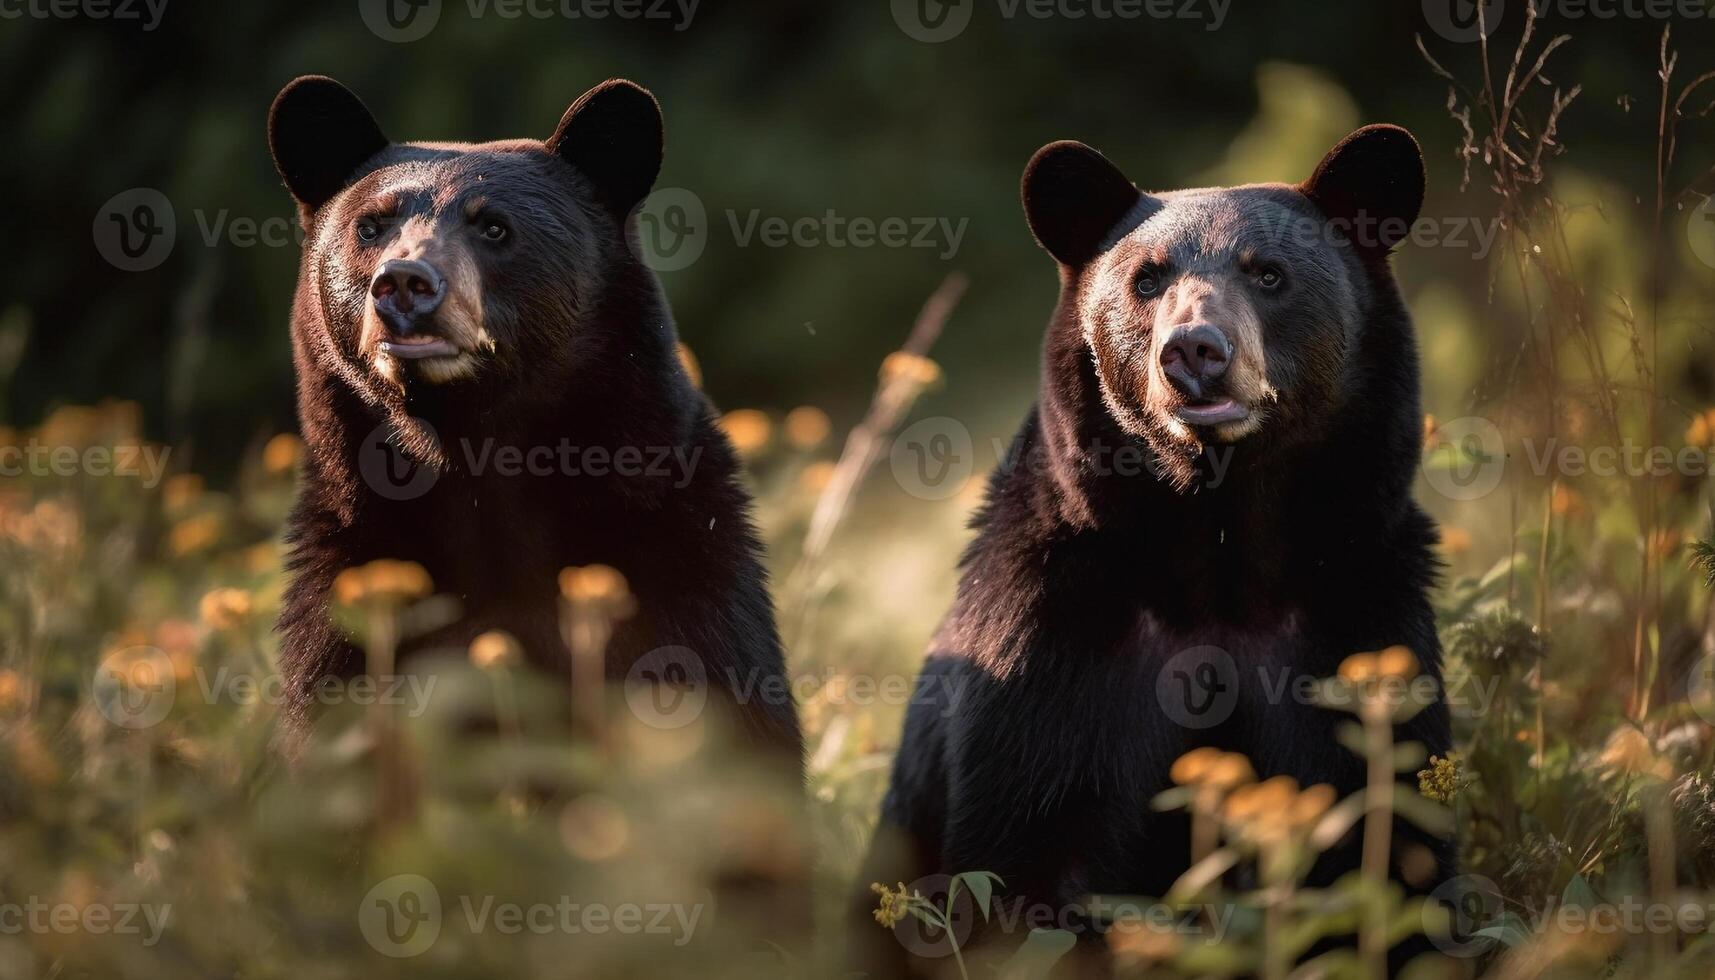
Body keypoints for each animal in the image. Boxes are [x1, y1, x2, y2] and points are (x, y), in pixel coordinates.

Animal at [267, 74, 802, 765]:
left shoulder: (680, 563)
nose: (405, 283)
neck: (471, 453)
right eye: (372, 226)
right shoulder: (350, 585)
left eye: (494, 227)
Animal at [857, 128, 1447, 974]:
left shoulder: (1355, 618)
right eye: (1145, 280)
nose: (1193, 351)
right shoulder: (1053, 645)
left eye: (1269, 274)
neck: (1216, 549)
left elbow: (1381, 844)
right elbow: (1025, 855)